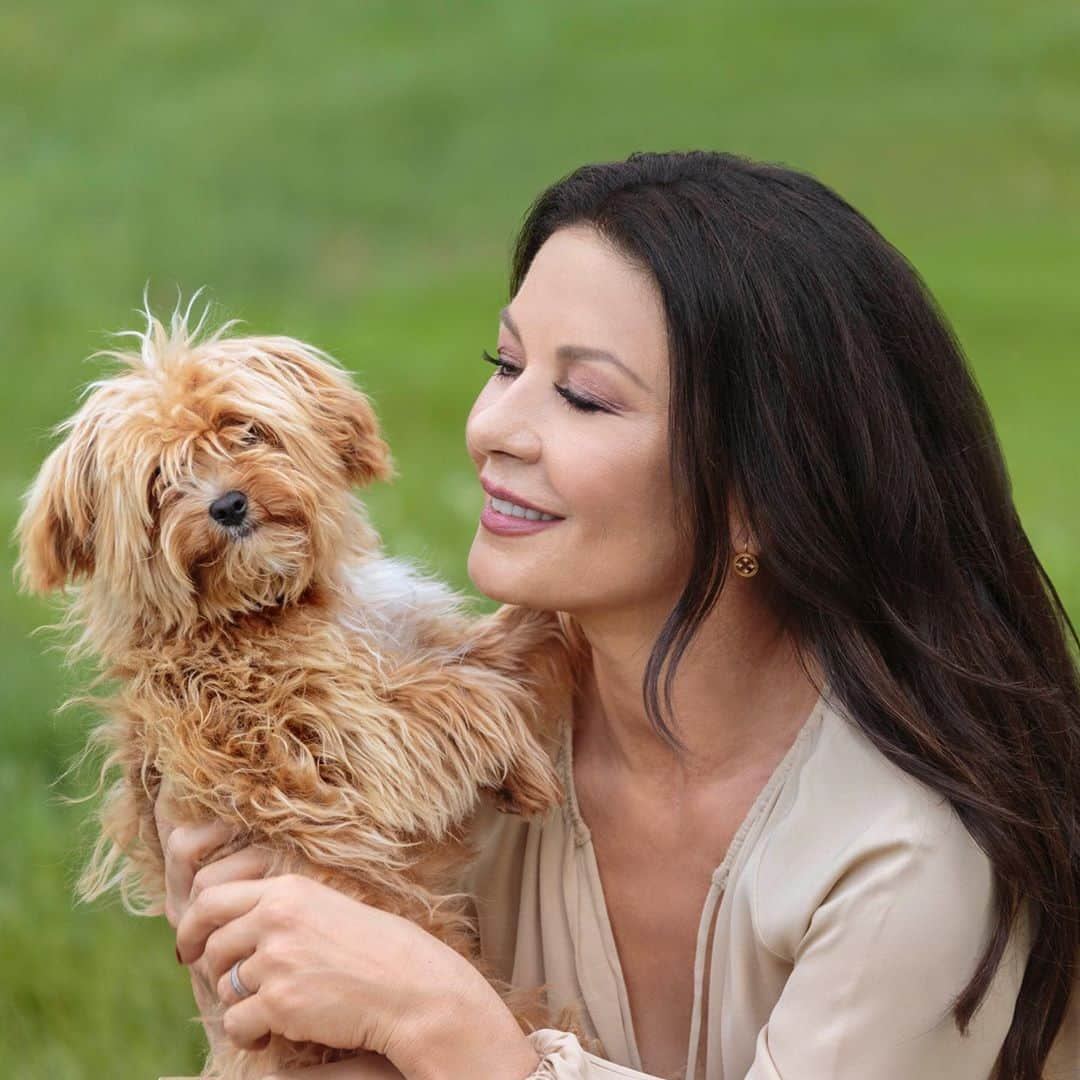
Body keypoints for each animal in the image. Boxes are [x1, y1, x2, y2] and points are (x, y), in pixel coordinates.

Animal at [14, 298, 600, 1080]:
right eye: (161, 481)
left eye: (245, 430)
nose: (228, 505)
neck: (267, 608)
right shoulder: (329, 737)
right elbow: (468, 697)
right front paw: (529, 771)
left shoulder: (408, 644)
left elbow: (486, 651)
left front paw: (552, 621)